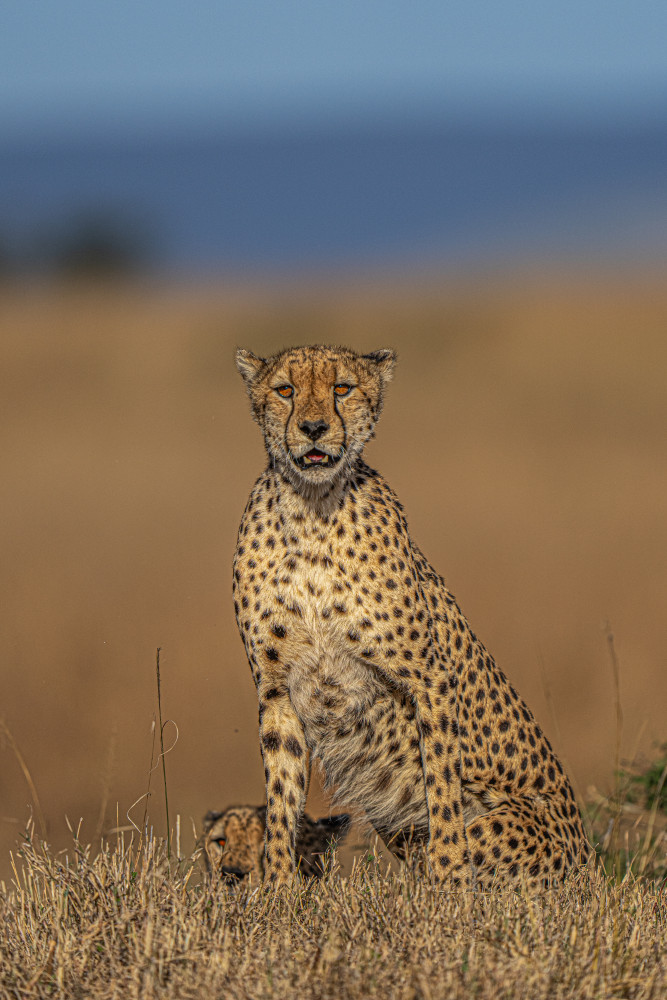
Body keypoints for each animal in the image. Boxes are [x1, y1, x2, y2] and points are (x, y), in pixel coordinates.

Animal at [232, 344, 589, 887]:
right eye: (285, 390)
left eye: (342, 388)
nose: (313, 428)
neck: (313, 508)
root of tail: (590, 858)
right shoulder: (275, 691)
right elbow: (280, 798)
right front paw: (275, 890)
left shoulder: (430, 679)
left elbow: (441, 789)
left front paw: (449, 884)